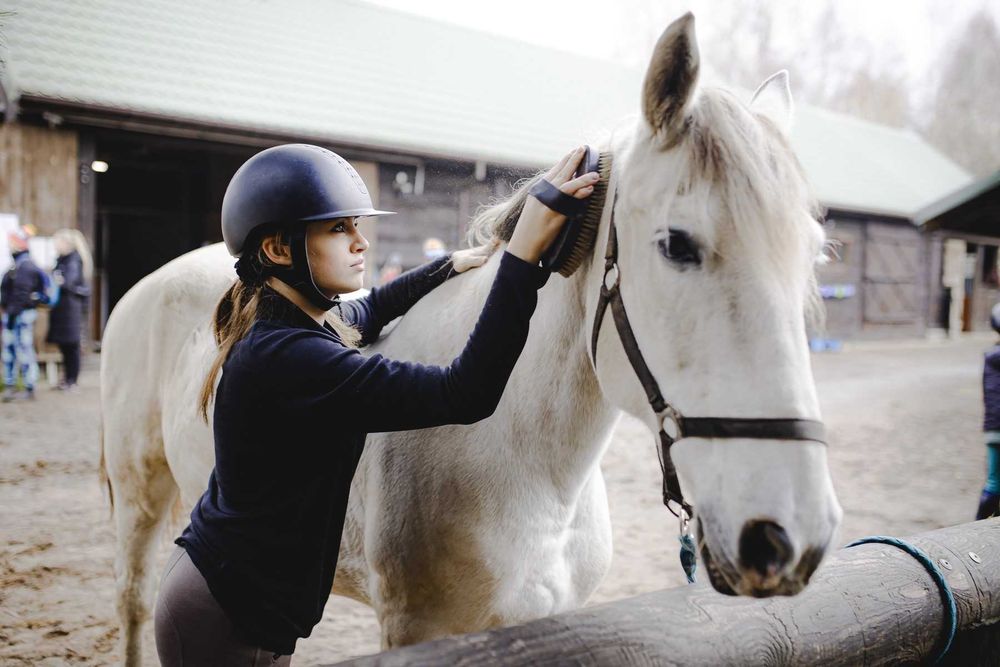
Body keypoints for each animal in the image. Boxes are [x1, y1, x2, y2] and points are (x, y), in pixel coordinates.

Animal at [103, 14, 836, 664]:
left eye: (814, 254)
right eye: (676, 244)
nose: (790, 535)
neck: (526, 464)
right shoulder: (420, 631)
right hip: (140, 497)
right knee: (135, 601)